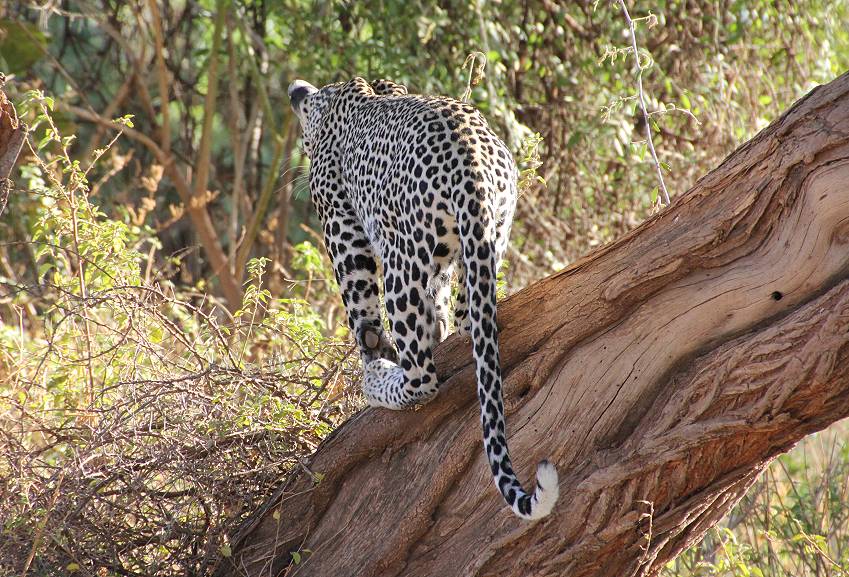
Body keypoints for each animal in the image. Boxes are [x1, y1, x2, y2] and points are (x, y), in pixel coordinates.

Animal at [288, 74, 560, 520]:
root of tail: (471, 165)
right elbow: (438, 308)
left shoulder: (340, 226)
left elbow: (360, 312)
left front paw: (373, 352)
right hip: (488, 237)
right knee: (467, 316)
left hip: (401, 261)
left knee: (422, 374)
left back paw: (379, 380)